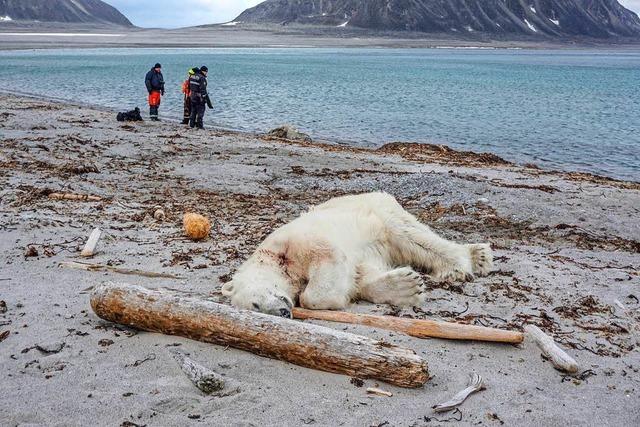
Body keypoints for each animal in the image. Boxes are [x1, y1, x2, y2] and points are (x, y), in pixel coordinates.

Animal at [222, 193, 492, 318]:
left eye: (255, 304)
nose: (283, 312)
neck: (273, 258)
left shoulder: (293, 242)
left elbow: (326, 261)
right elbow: (360, 276)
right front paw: (406, 286)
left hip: (379, 213)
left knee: (412, 236)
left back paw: (464, 262)